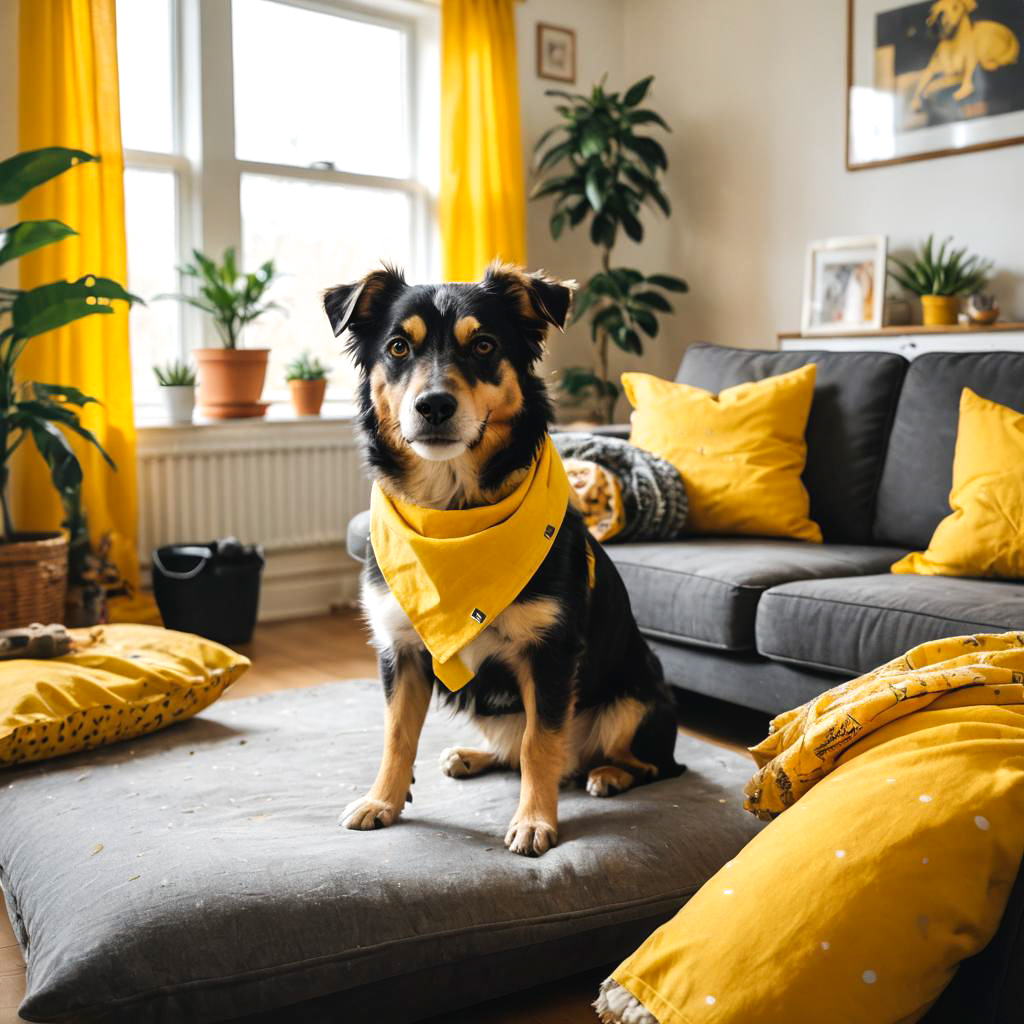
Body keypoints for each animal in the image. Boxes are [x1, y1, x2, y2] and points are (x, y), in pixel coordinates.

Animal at [323, 262, 684, 856]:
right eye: (398, 347)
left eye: (484, 345)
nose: (434, 406)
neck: (453, 516)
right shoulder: (400, 649)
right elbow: (397, 735)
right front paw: (383, 801)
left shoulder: (551, 653)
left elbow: (542, 742)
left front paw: (535, 821)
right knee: (515, 750)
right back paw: (472, 756)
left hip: (638, 697)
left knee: (644, 763)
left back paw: (608, 773)